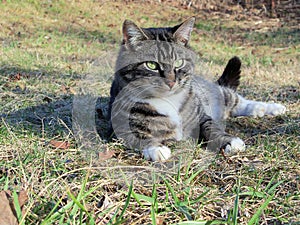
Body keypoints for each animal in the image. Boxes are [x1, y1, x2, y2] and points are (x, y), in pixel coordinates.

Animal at [107, 17, 286, 162]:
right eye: (151, 65)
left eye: (179, 62)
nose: (171, 82)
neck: (168, 100)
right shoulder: (119, 126)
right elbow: (138, 134)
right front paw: (156, 148)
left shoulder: (201, 115)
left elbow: (211, 127)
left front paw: (229, 141)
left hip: (217, 94)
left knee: (236, 99)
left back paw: (270, 107)